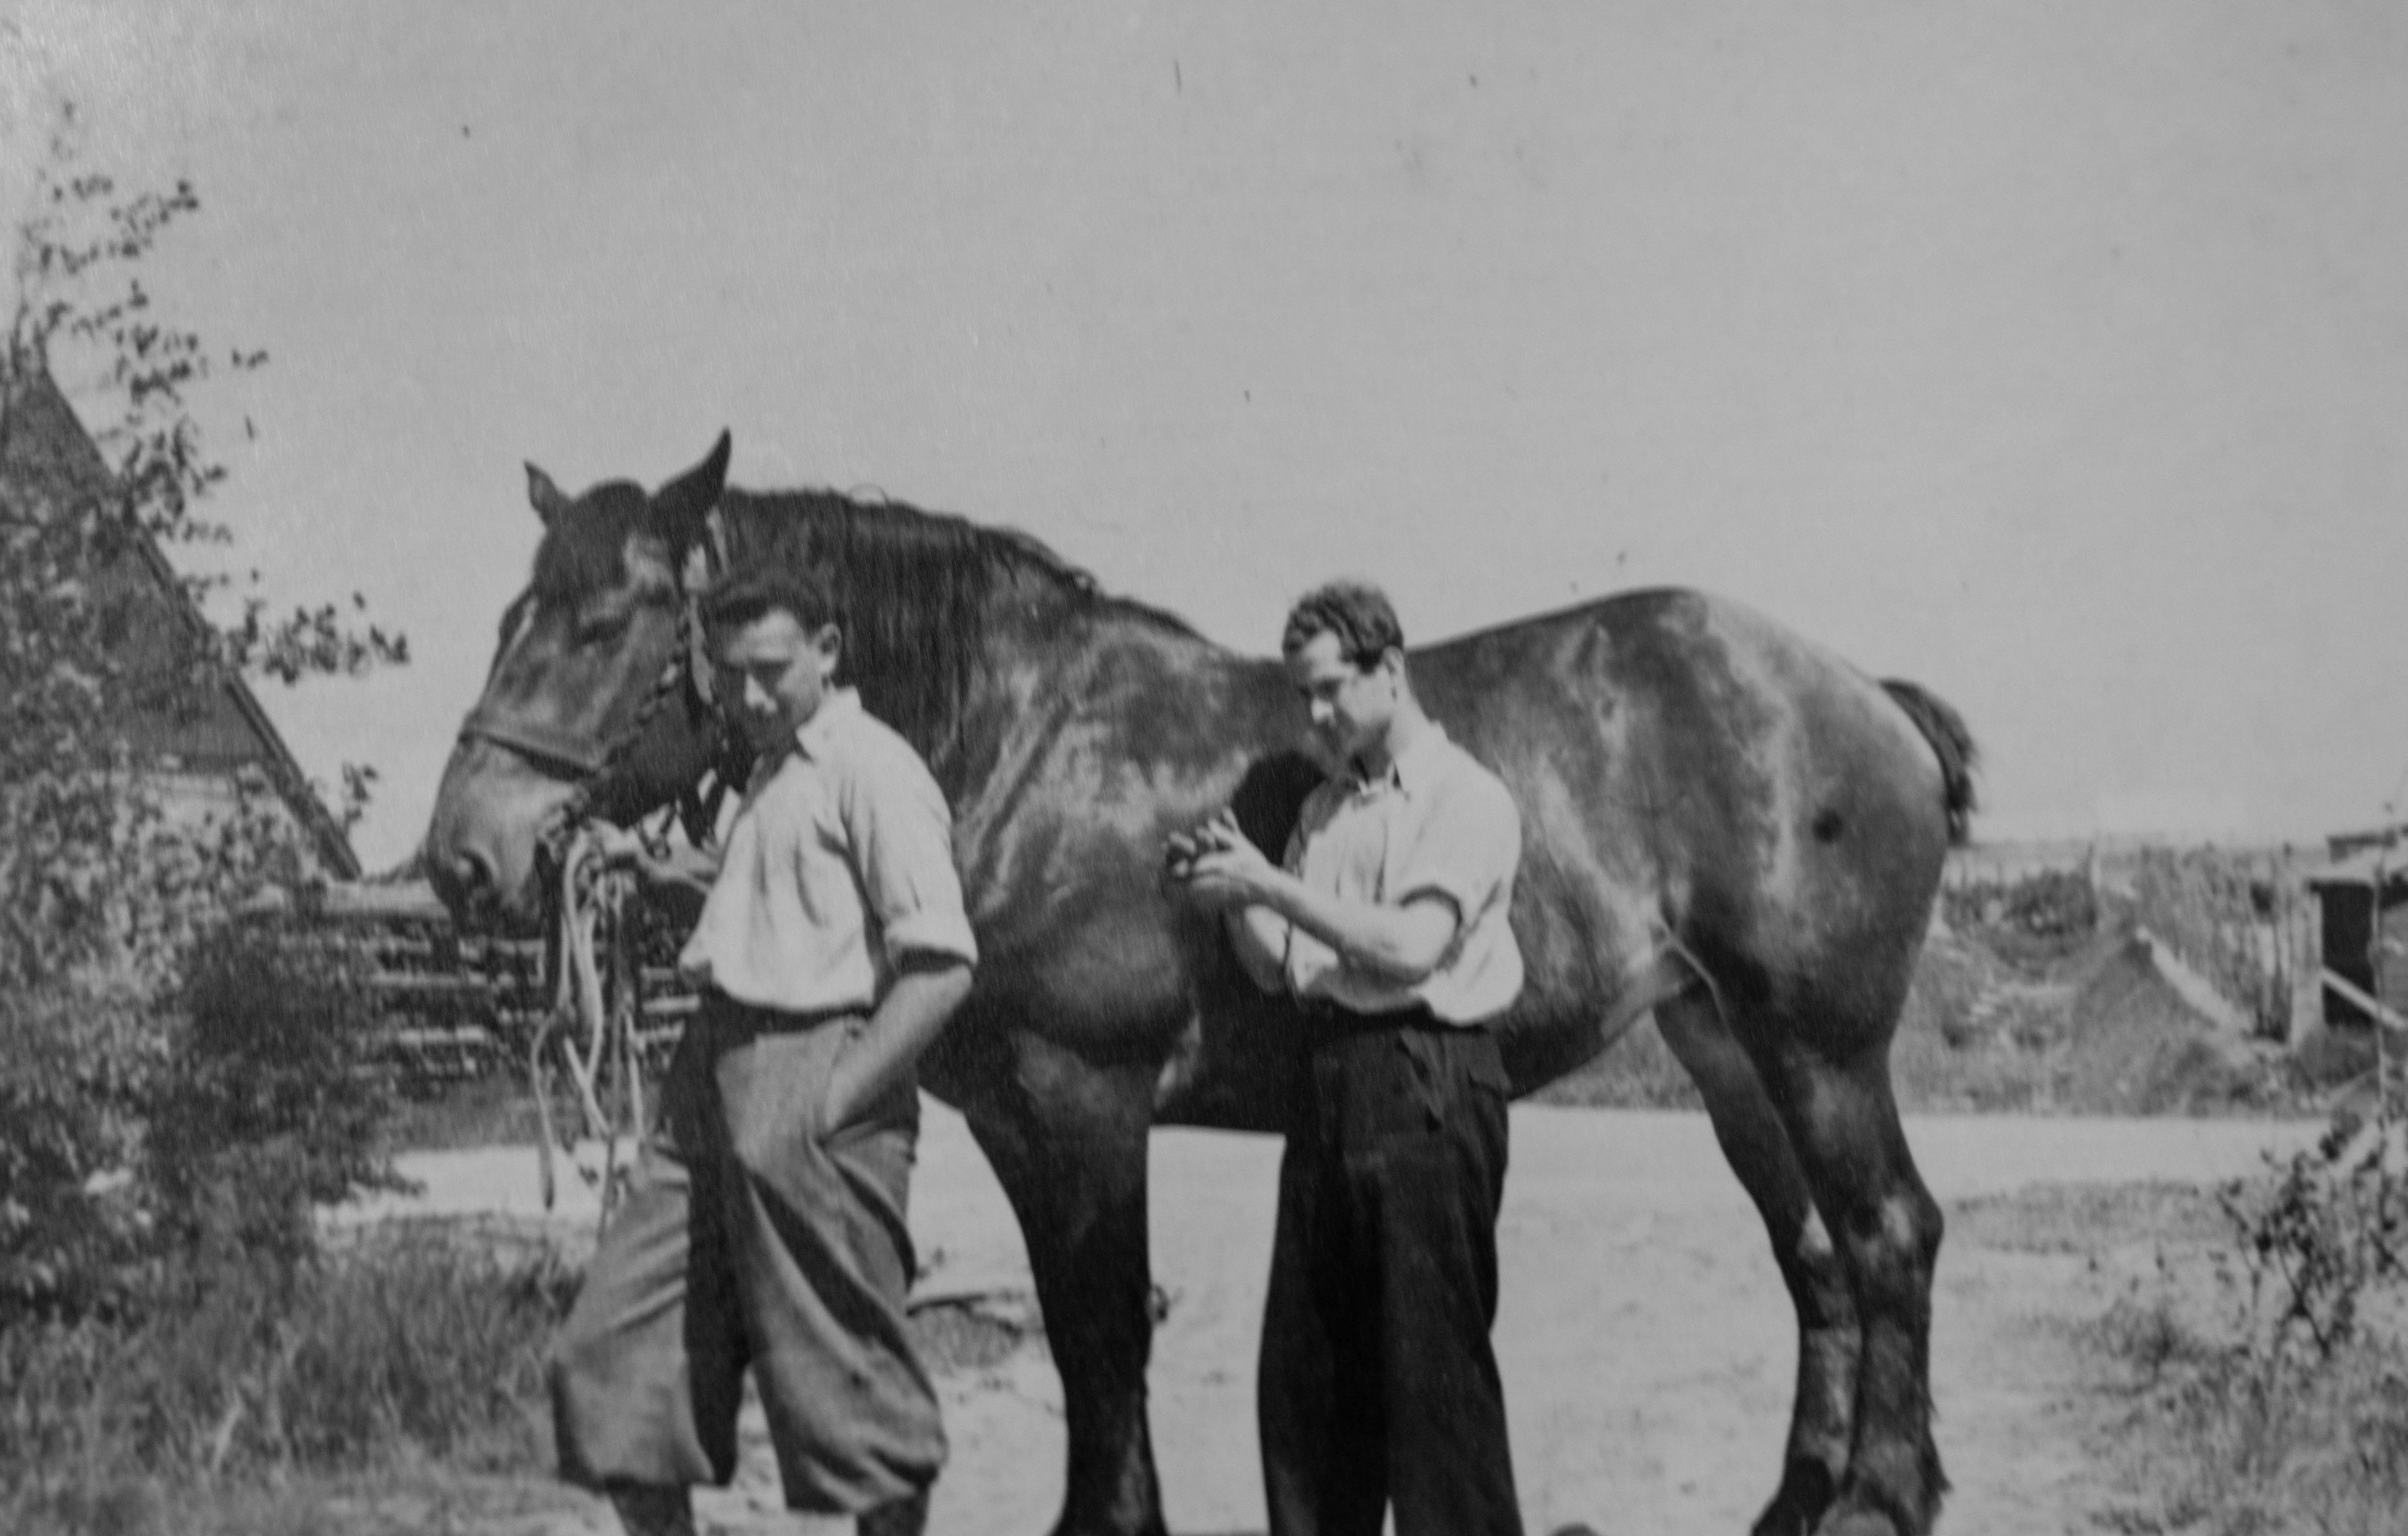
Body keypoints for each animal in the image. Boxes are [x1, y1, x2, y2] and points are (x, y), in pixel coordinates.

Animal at [424, 433, 1976, 1536]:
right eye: (509, 612)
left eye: (604, 622)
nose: (462, 857)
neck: (1017, 742)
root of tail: (1863, 694)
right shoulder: (1016, 1123)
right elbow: (1077, 1336)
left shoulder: (1087, 1101)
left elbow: (1108, 1333)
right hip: (1720, 1047)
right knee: (1815, 1256)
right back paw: (1796, 1498)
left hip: (1817, 1049)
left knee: (1887, 1233)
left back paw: (1878, 1499)